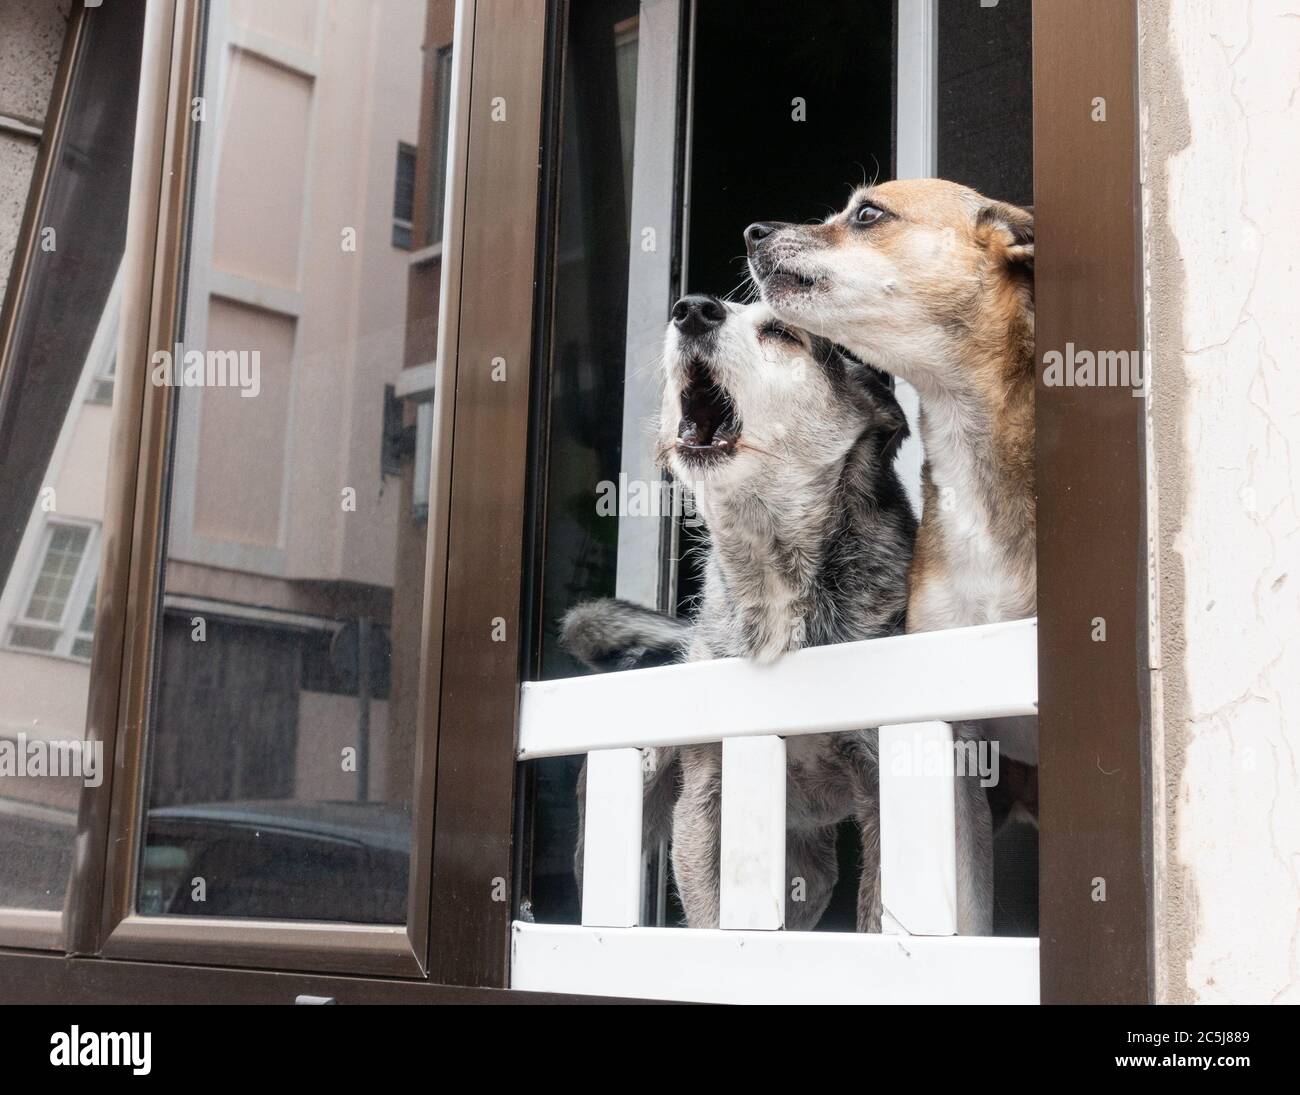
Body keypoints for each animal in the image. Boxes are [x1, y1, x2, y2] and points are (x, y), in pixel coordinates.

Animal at [561, 293, 915, 925]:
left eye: (781, 331)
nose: (691, 309)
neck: (772, 566)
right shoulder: (706, 795)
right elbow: (713, 922)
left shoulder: (879, 787)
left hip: (808, 873)